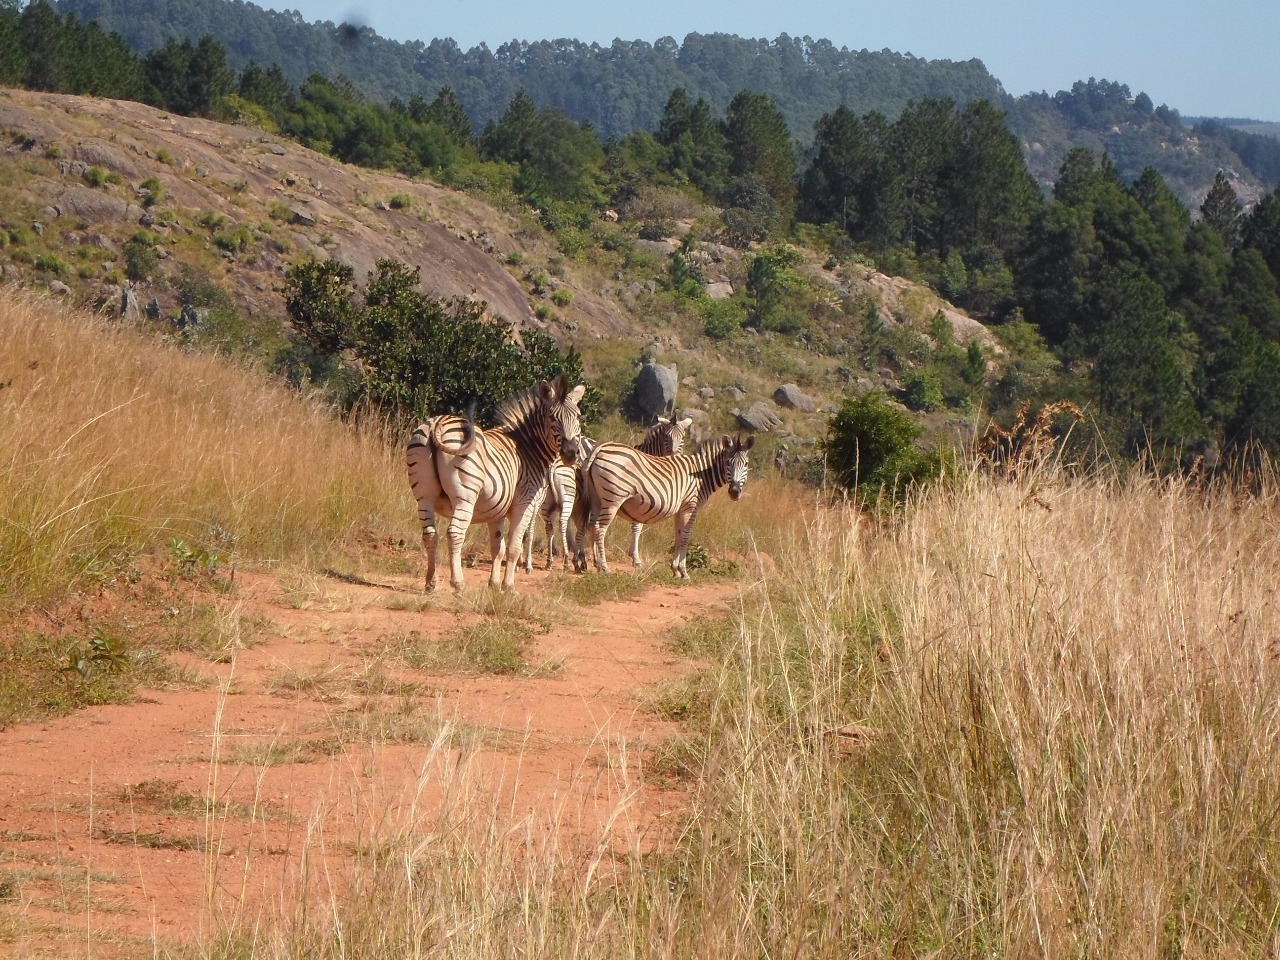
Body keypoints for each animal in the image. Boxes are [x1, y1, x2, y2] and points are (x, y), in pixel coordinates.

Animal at [406, 375, 585, 592]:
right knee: (454, 533)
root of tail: (437, 422)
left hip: (424, 497)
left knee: (430, 535)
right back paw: (458, 583)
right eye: (552, 418)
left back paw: (431, 582)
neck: (528, 449)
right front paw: (508, 586)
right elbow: (514, 547)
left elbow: (497, 547)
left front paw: (494, 584)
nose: (570, 454)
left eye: (578, 417)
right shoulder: (525, 503)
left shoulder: (497, 509)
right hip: (464, 496)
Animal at [523, 416, 692, 572]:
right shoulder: (641, 498)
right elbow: (636, 526)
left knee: (550, 522)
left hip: (551, 499)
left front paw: (591, 558)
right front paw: (635, 558)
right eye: (666, 438)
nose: (674, 457)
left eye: (683, 438)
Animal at [579, 434, 755, 579]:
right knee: (601, 529)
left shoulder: (680, 509)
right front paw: (684, 572)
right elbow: (685, 538)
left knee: (592, 526)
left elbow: (678, 536)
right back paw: (605, 567)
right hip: (613, 499)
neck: (702, 475)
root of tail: (601, 448)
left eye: (746, 464)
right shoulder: (691, 506)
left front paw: (675, 570)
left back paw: (596, 564)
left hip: (597, 499)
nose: (734, 492)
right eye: (727, 463)